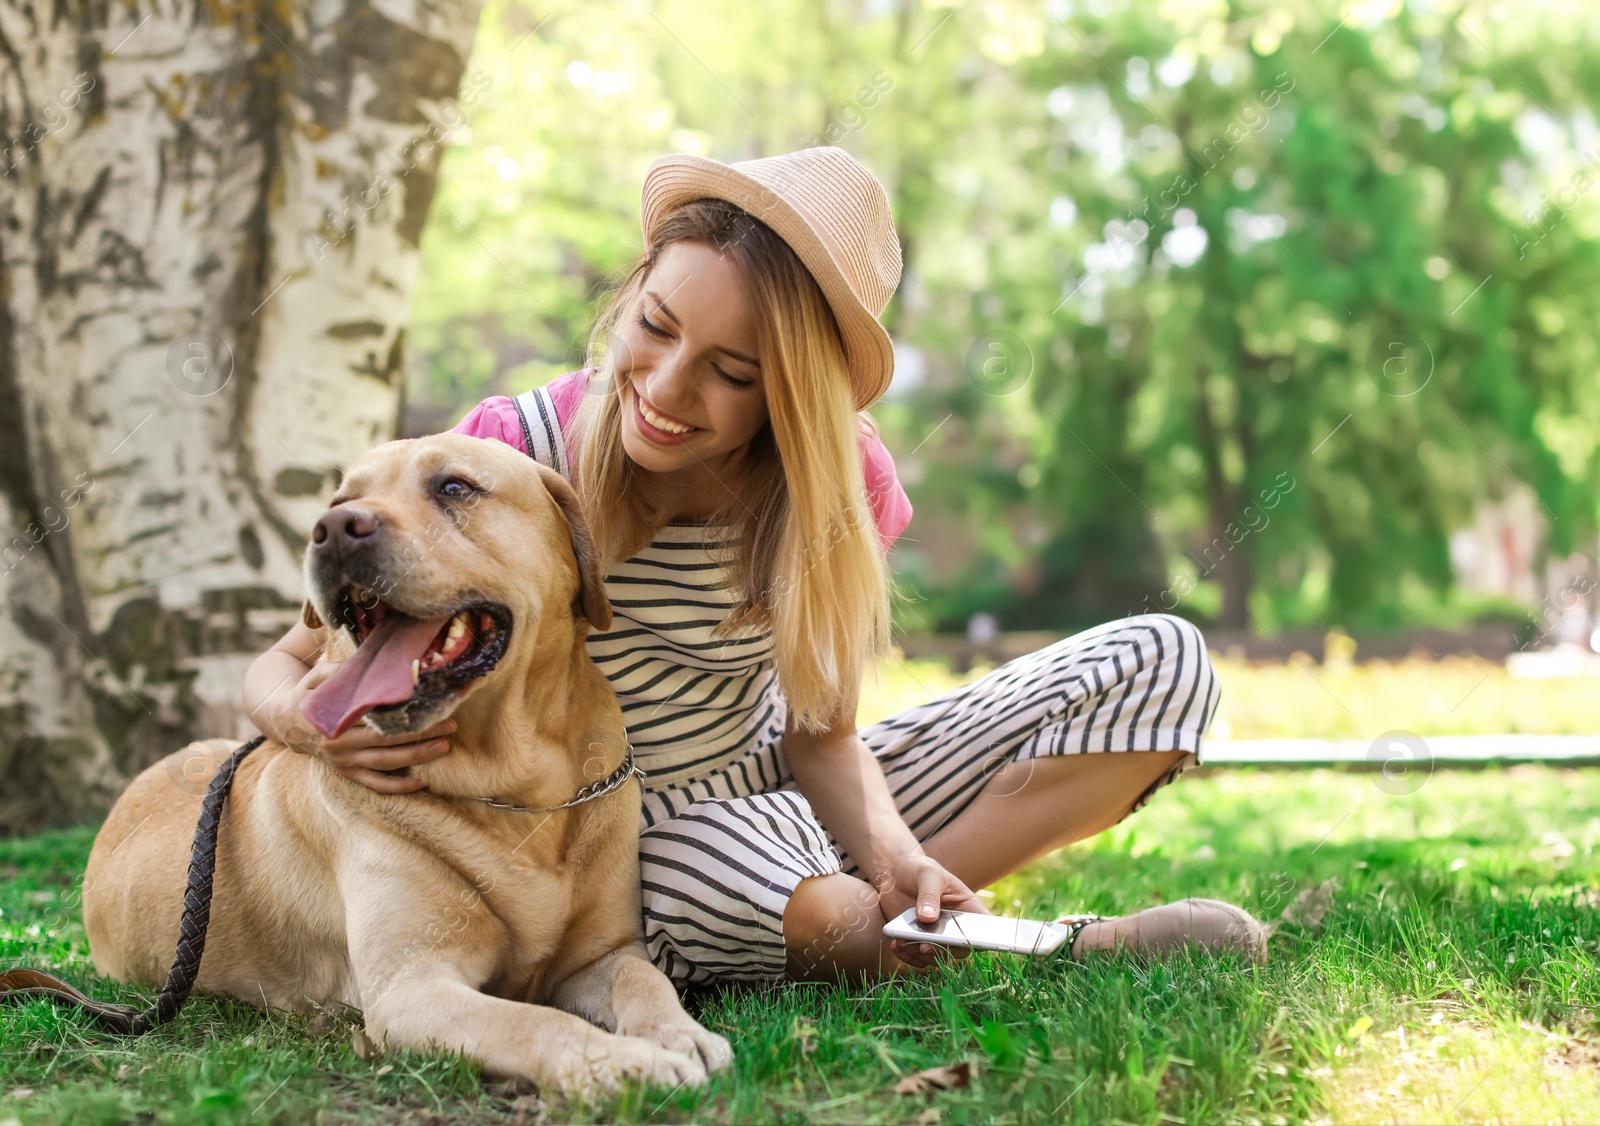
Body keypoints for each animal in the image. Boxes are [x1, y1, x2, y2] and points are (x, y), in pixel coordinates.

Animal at [84, 435, 732, 1094]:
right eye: (338, 501)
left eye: (454, 488)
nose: (333, 530)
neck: (516, 791)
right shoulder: (410, 989)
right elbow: (535, 1022)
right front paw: (625, 1063)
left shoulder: (604, 955)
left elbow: (643, 979)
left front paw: (678, 1034)